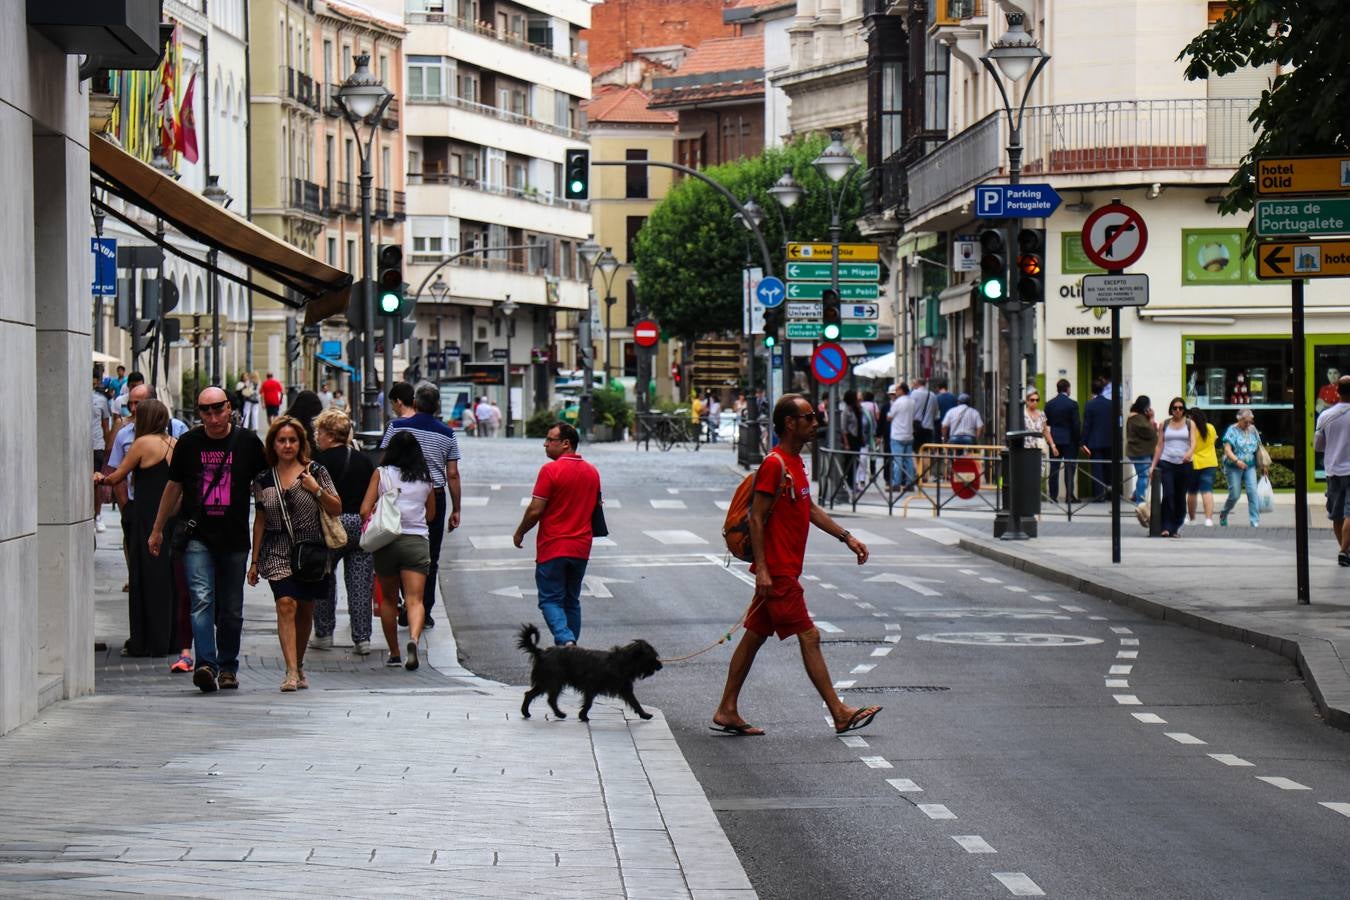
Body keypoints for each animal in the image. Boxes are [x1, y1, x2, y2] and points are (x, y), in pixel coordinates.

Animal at [515, 623, 664, 723]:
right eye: (652, 657)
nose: (661, 665)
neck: (621, 662)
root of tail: (541, 652)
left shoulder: (625, 689)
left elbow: (635, 703)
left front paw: (645, 715)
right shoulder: (590, 687)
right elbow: (589, 703)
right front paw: (583, 716)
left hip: (545, 682)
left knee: (530, 694)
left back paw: (526, 712)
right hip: (553, 681)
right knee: (549, 699)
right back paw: (559, 714)